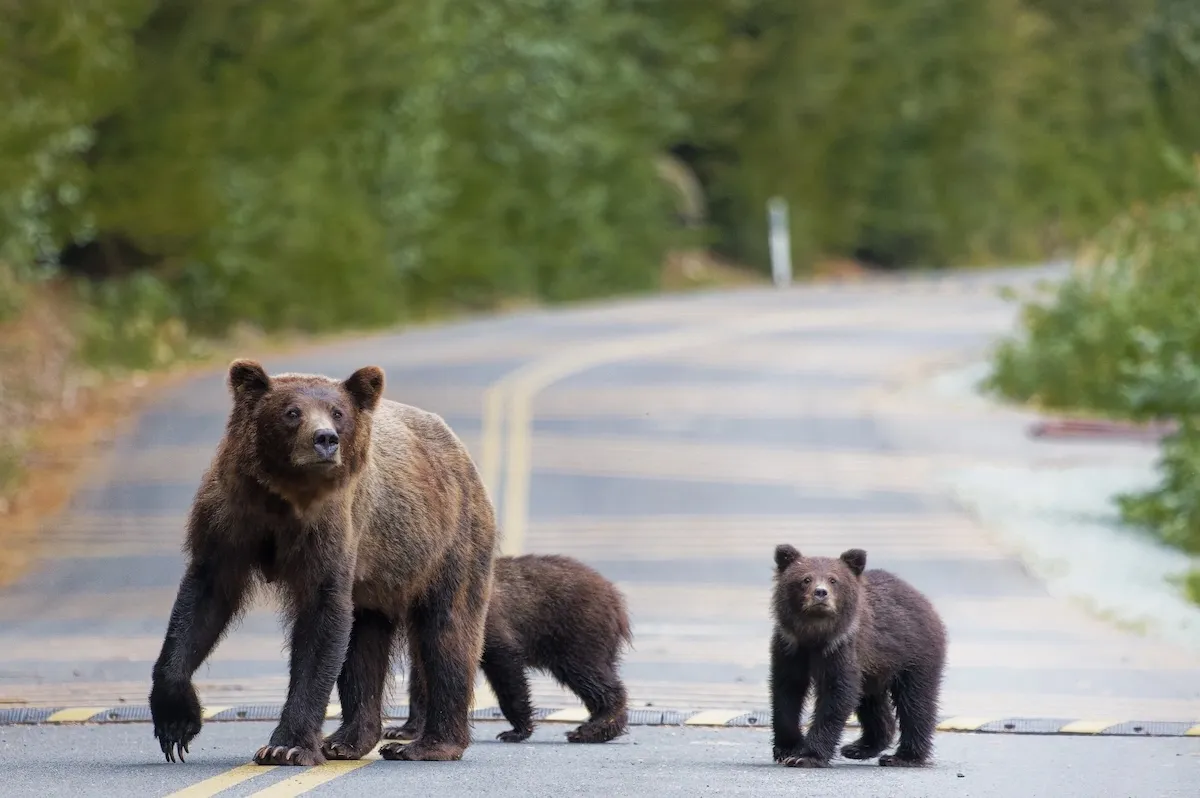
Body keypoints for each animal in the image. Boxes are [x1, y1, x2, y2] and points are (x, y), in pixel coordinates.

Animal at [148, 359, 497, 766]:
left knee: (447, 632)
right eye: (292, 412)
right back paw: (346, 740)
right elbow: (202, 602)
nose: (325, 439)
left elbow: (321, 622)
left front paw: (286, 745)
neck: (284, 498)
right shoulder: (228, 521)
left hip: (445, 543)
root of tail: (460, 451)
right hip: (378, 580)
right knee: (364, 645)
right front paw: (177, 723)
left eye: (337, 412)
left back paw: (427, 744)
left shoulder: (333, 529)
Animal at [385, 553, 633, 745]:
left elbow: (506, 667)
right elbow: (423, 679)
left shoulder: (486, 626)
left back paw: (593, 728)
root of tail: (616, 599)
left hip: (576, 632)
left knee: (588, 675)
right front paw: (402, 729)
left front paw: (516, 730)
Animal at [768, 544, 947, 769]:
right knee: (872, 703)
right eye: (805, 579)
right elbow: (786, 692)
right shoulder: (790, 648)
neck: (814, 635)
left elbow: (836, 695)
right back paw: (859, 747)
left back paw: (903, 756)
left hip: (914, 655)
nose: (820, 593)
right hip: (874, 669)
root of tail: (922, 598)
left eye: (833, 580)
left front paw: (808, 755)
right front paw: (788, 748)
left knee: (915, 702)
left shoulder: (841, 649)